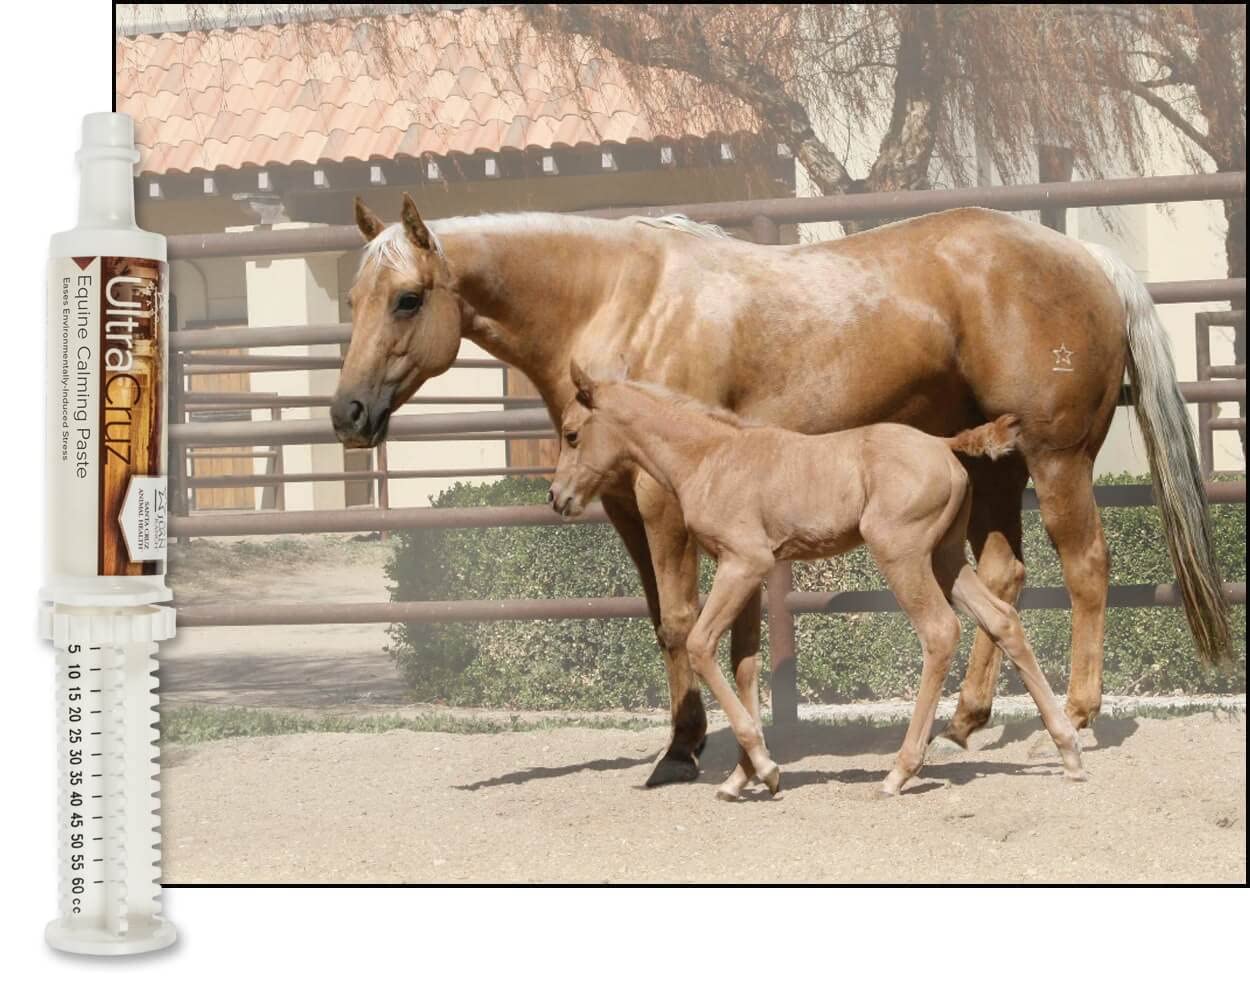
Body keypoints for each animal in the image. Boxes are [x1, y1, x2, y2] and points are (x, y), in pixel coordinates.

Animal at [548, 365, 1086, 798]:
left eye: (571, 434)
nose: (557, 497)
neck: (710, 457)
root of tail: (942, 443)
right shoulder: (748, 570)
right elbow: (745, 664)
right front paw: (742, 777)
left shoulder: (742, 563)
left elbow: (701, 646)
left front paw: (765, 769)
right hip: (946, 557)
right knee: (1003, 619)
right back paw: (1068, 751)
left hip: (902, 554)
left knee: (939, 632)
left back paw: (900, 771)